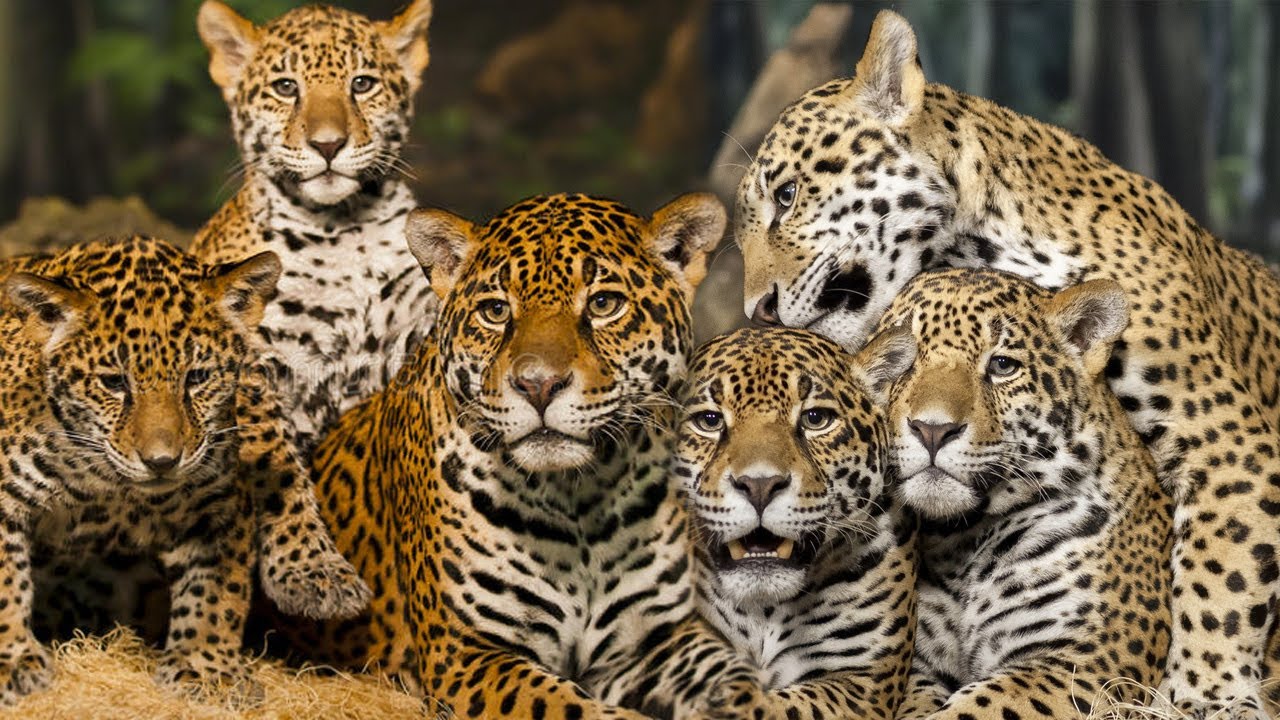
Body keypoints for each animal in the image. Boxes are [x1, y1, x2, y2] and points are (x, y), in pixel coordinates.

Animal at [0, 236, 281, 704]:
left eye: (197, 377)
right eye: (114, 382)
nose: (161, 462)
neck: (103, 481)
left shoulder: (221, 505)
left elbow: (216, 592)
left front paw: (206, 668)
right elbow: (5, 584)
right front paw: (12, 663)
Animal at [191, 0, 440, 622]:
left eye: (362, 84)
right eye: (286, 88)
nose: (329, 145)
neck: (342, 232)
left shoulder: (405, 338)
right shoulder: (249, 367)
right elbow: (276, 464)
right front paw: (312, 574)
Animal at [278, 192, 774, 718]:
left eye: (604, 304)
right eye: (496, 311)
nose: (538, 385)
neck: (580, 501)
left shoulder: (654, 642)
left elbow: (731, 676)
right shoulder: (468, 653)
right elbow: (574, 706)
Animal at [673, 325, 918, 720]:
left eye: (815, 419)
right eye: (709, 421)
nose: (759, 484)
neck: (763, 609)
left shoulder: (862, 680)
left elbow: (792, 707)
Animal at [868, 268, 1173, 718]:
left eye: (1002, 366)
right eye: (905, 363)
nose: (932, 430)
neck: (964, 546)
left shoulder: (1085, 663)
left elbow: (976, 705)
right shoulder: (920, 666)